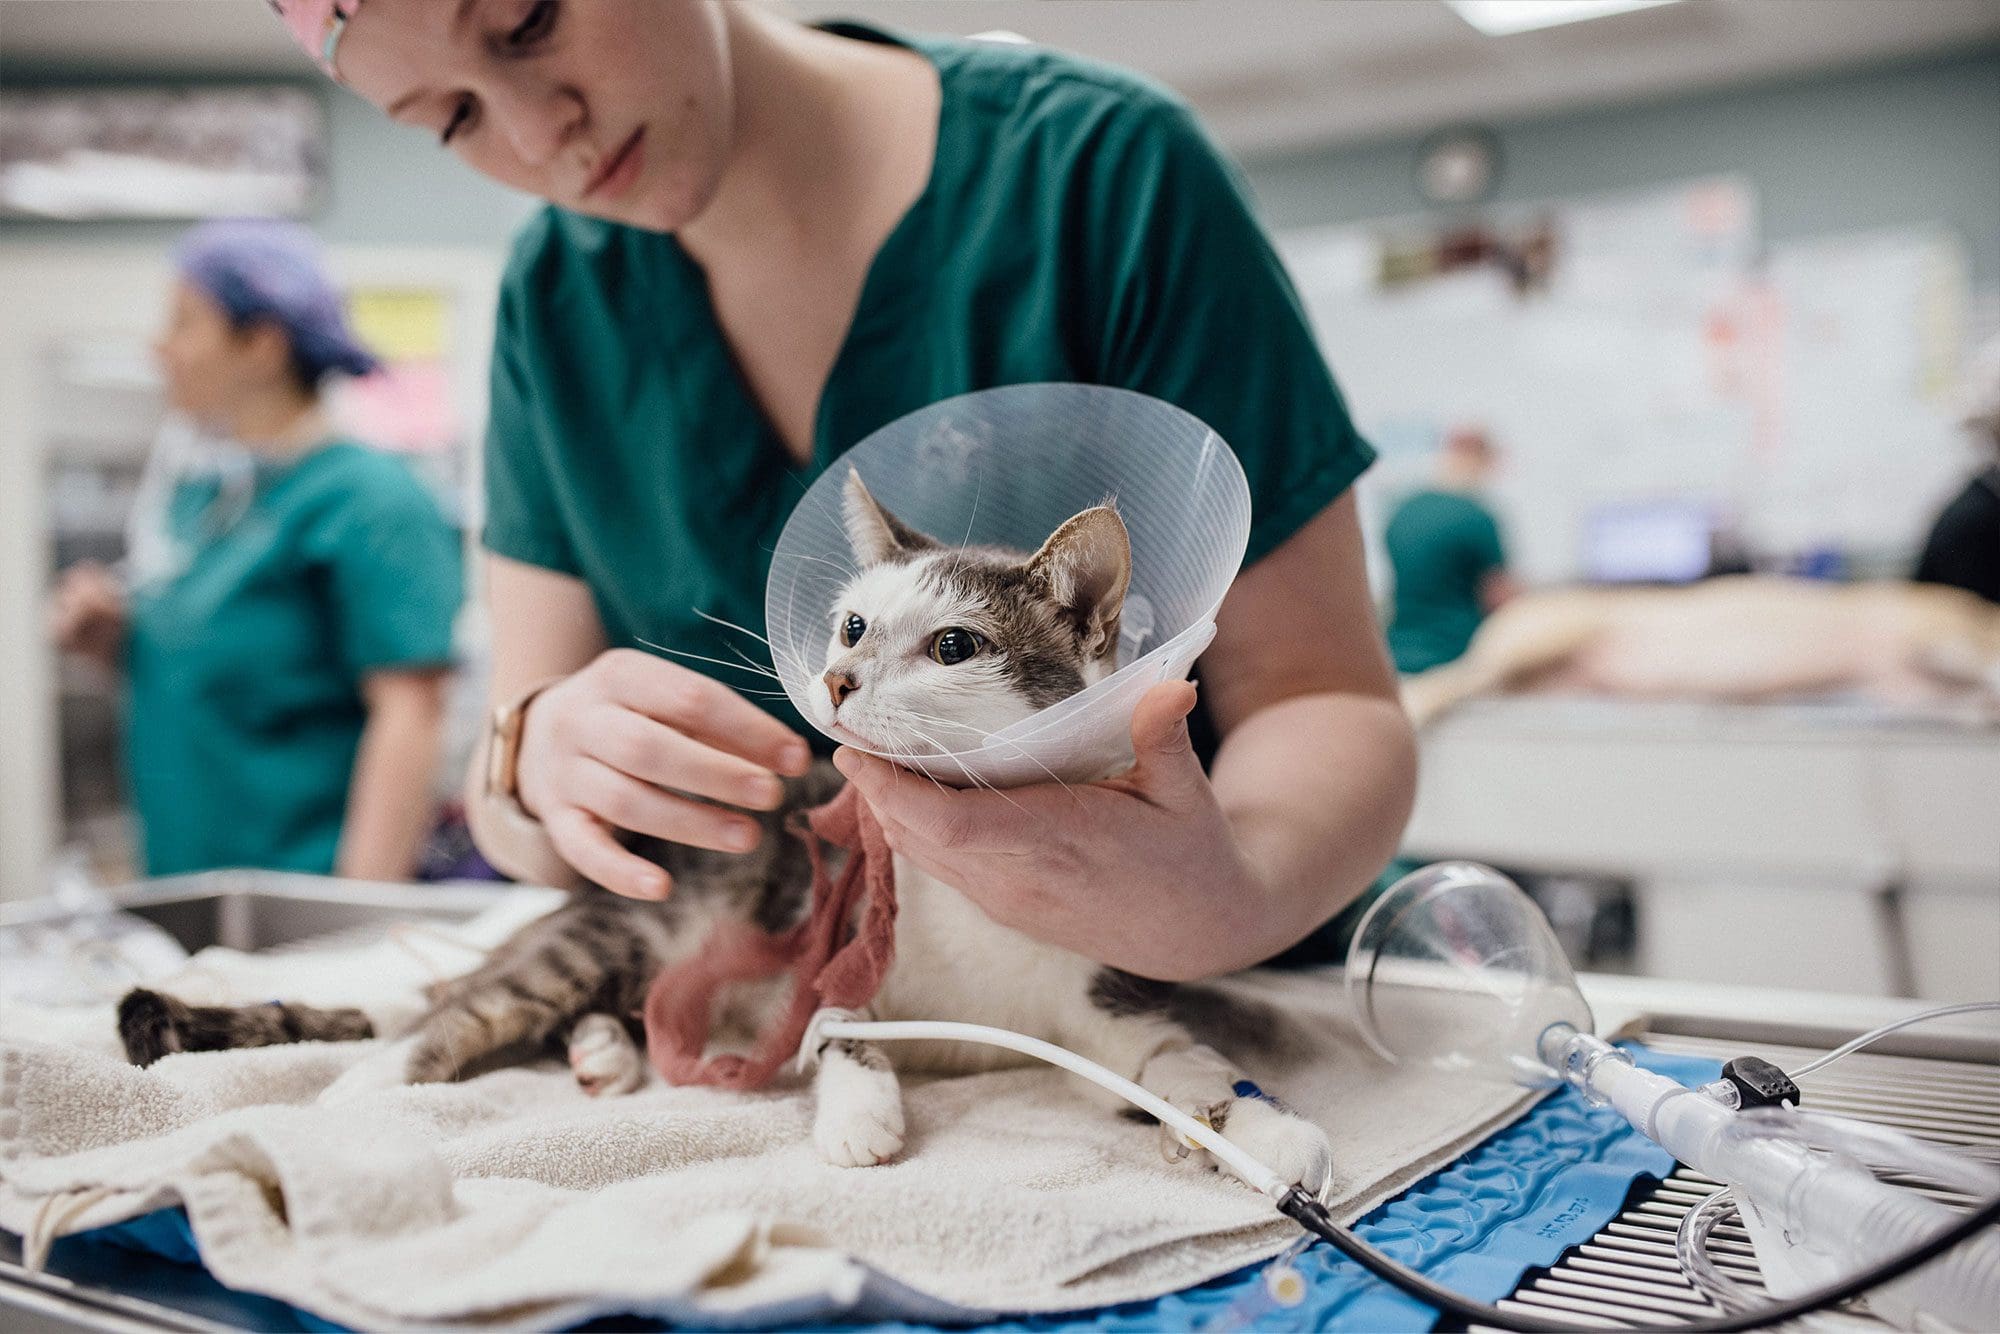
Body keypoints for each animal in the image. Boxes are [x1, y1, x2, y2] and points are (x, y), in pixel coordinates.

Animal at [117, 474, 1336, 1208]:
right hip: (629, 925)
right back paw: (365, 1089)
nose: (835, 679)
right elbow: (839, 1023)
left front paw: (1254, 1127)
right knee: (461, 1010)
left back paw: (607, 1051)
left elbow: (1172, 1055)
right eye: (851, 625)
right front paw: (860, 1112)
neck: (968, 888)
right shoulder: (839, 921)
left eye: (953, 644)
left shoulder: (1096, 967)